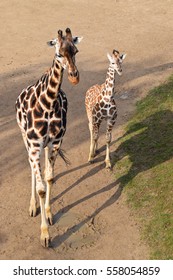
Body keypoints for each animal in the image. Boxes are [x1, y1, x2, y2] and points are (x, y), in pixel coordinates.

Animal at [15, 27, 82, 247]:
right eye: (58, 53)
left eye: (75, 51)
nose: (74, 77)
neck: (47, 104)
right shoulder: (35, 145)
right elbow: (41, 188)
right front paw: (44, 234)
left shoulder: (55, 142)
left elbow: (50, 179)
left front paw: (50, 213)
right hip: (25, 140)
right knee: (31, 169)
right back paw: (32, 206)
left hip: (46, 146)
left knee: (44, 172)